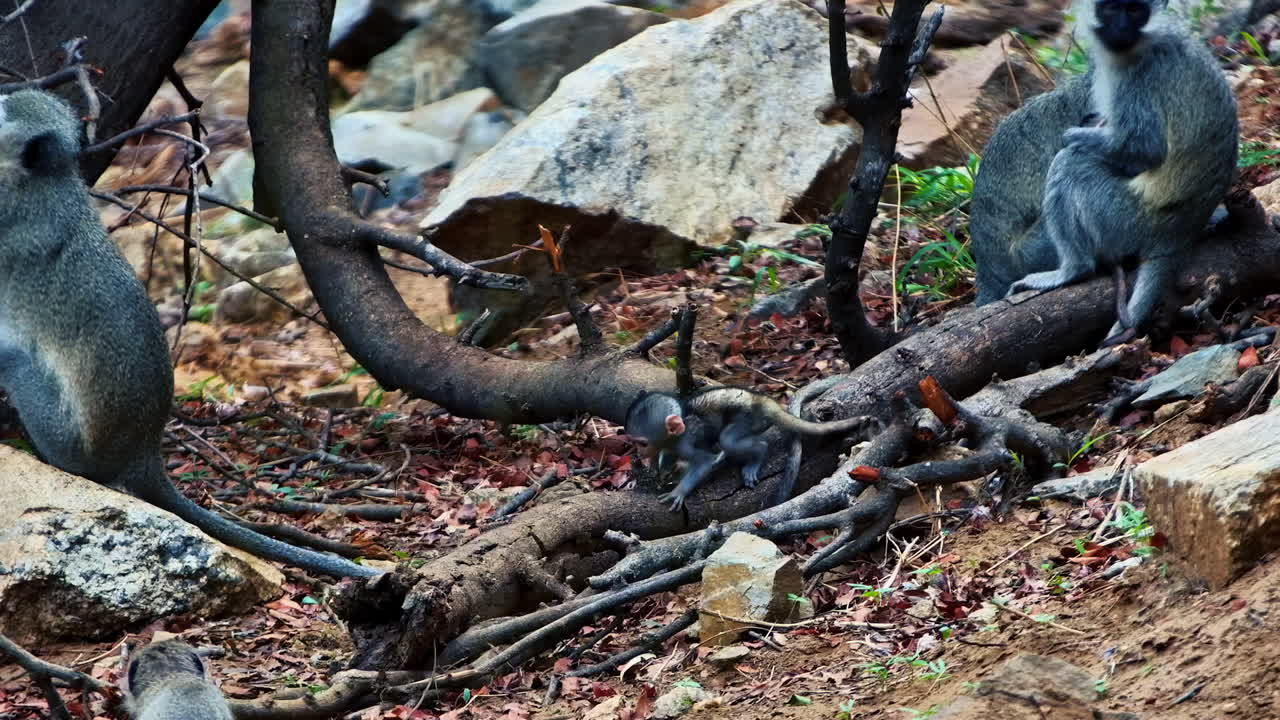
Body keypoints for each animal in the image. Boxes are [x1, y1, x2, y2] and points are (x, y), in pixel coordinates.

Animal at [625, 387, 873, 511]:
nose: (638, 453)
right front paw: (660, 470)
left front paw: (679, 492)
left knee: (729, 439)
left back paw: (755, 456)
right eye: (633, 442)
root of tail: (765, 402)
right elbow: (667, 454)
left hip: (749, 417)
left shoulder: (685, 442)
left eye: (642, 443)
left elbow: (703, 461)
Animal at [998, 0, 1238, 339]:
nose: (1122, 28)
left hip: (1126, 220)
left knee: (1071, 164)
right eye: (1111, 10)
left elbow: (1144, 149)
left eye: (1135, 10)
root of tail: (1179, 233)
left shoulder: (1139, 75)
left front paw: (1071, 136)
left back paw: (1073, 270)